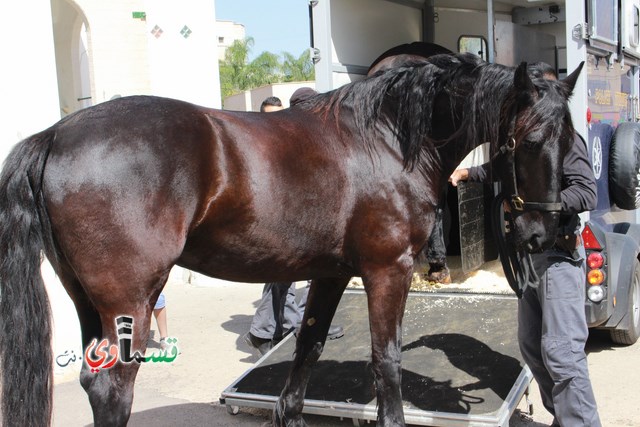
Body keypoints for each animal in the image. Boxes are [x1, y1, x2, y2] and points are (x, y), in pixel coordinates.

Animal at [0, 54, 580, 427]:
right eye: (530, 140)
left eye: (571, 138)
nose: (539, 234)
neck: (388, 139)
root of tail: (54, 135)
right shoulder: (388, 270)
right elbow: (386, 363)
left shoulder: (330, 274)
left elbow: (308, 347)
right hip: (133, 299)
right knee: (112, 387)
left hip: (88, 302)